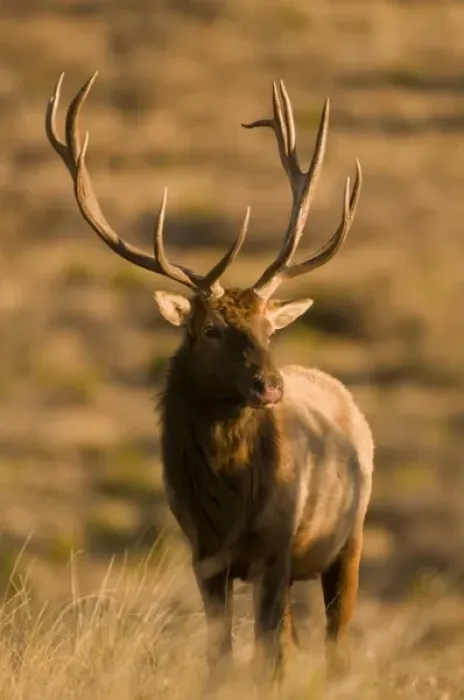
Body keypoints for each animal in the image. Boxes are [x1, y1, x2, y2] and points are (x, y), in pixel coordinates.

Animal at [45, 72, 374, 687]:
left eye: (269, 327)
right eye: (212, 329)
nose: (271, 386)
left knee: (336, 642)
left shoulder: (275, 547)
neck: (227, 497)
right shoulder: (201, 553)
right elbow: (221, 653)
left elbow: (271, 656)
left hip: (350, 537)